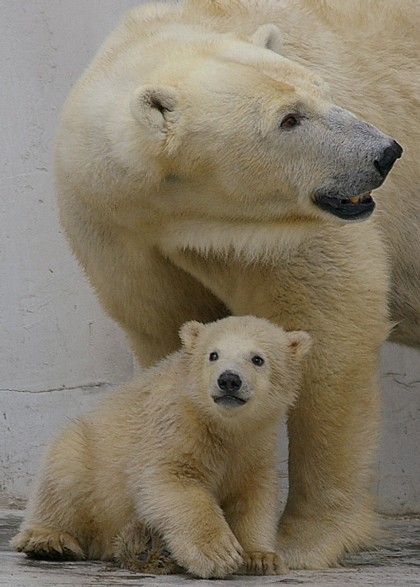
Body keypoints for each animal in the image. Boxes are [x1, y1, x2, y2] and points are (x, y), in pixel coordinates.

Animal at [53, 0, 414, 572]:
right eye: (289, 118)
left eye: (325, 90)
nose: (385, 153)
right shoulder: (118, 229)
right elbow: (168, 337)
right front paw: (154, 539)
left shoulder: (279, 234)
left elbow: (331, 334)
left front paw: (302, 540)